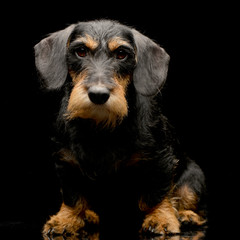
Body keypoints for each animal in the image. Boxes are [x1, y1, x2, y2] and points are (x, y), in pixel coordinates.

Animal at [34, 19, 207, 237]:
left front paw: (160, 218)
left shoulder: (161, 160)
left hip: (194, 177)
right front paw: (67, 219)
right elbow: (73, 197)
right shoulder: (66, 161)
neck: (101, 128)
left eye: (122, 54)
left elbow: (156, 194)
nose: (98, 94)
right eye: (80, 51)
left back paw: (186, 215)